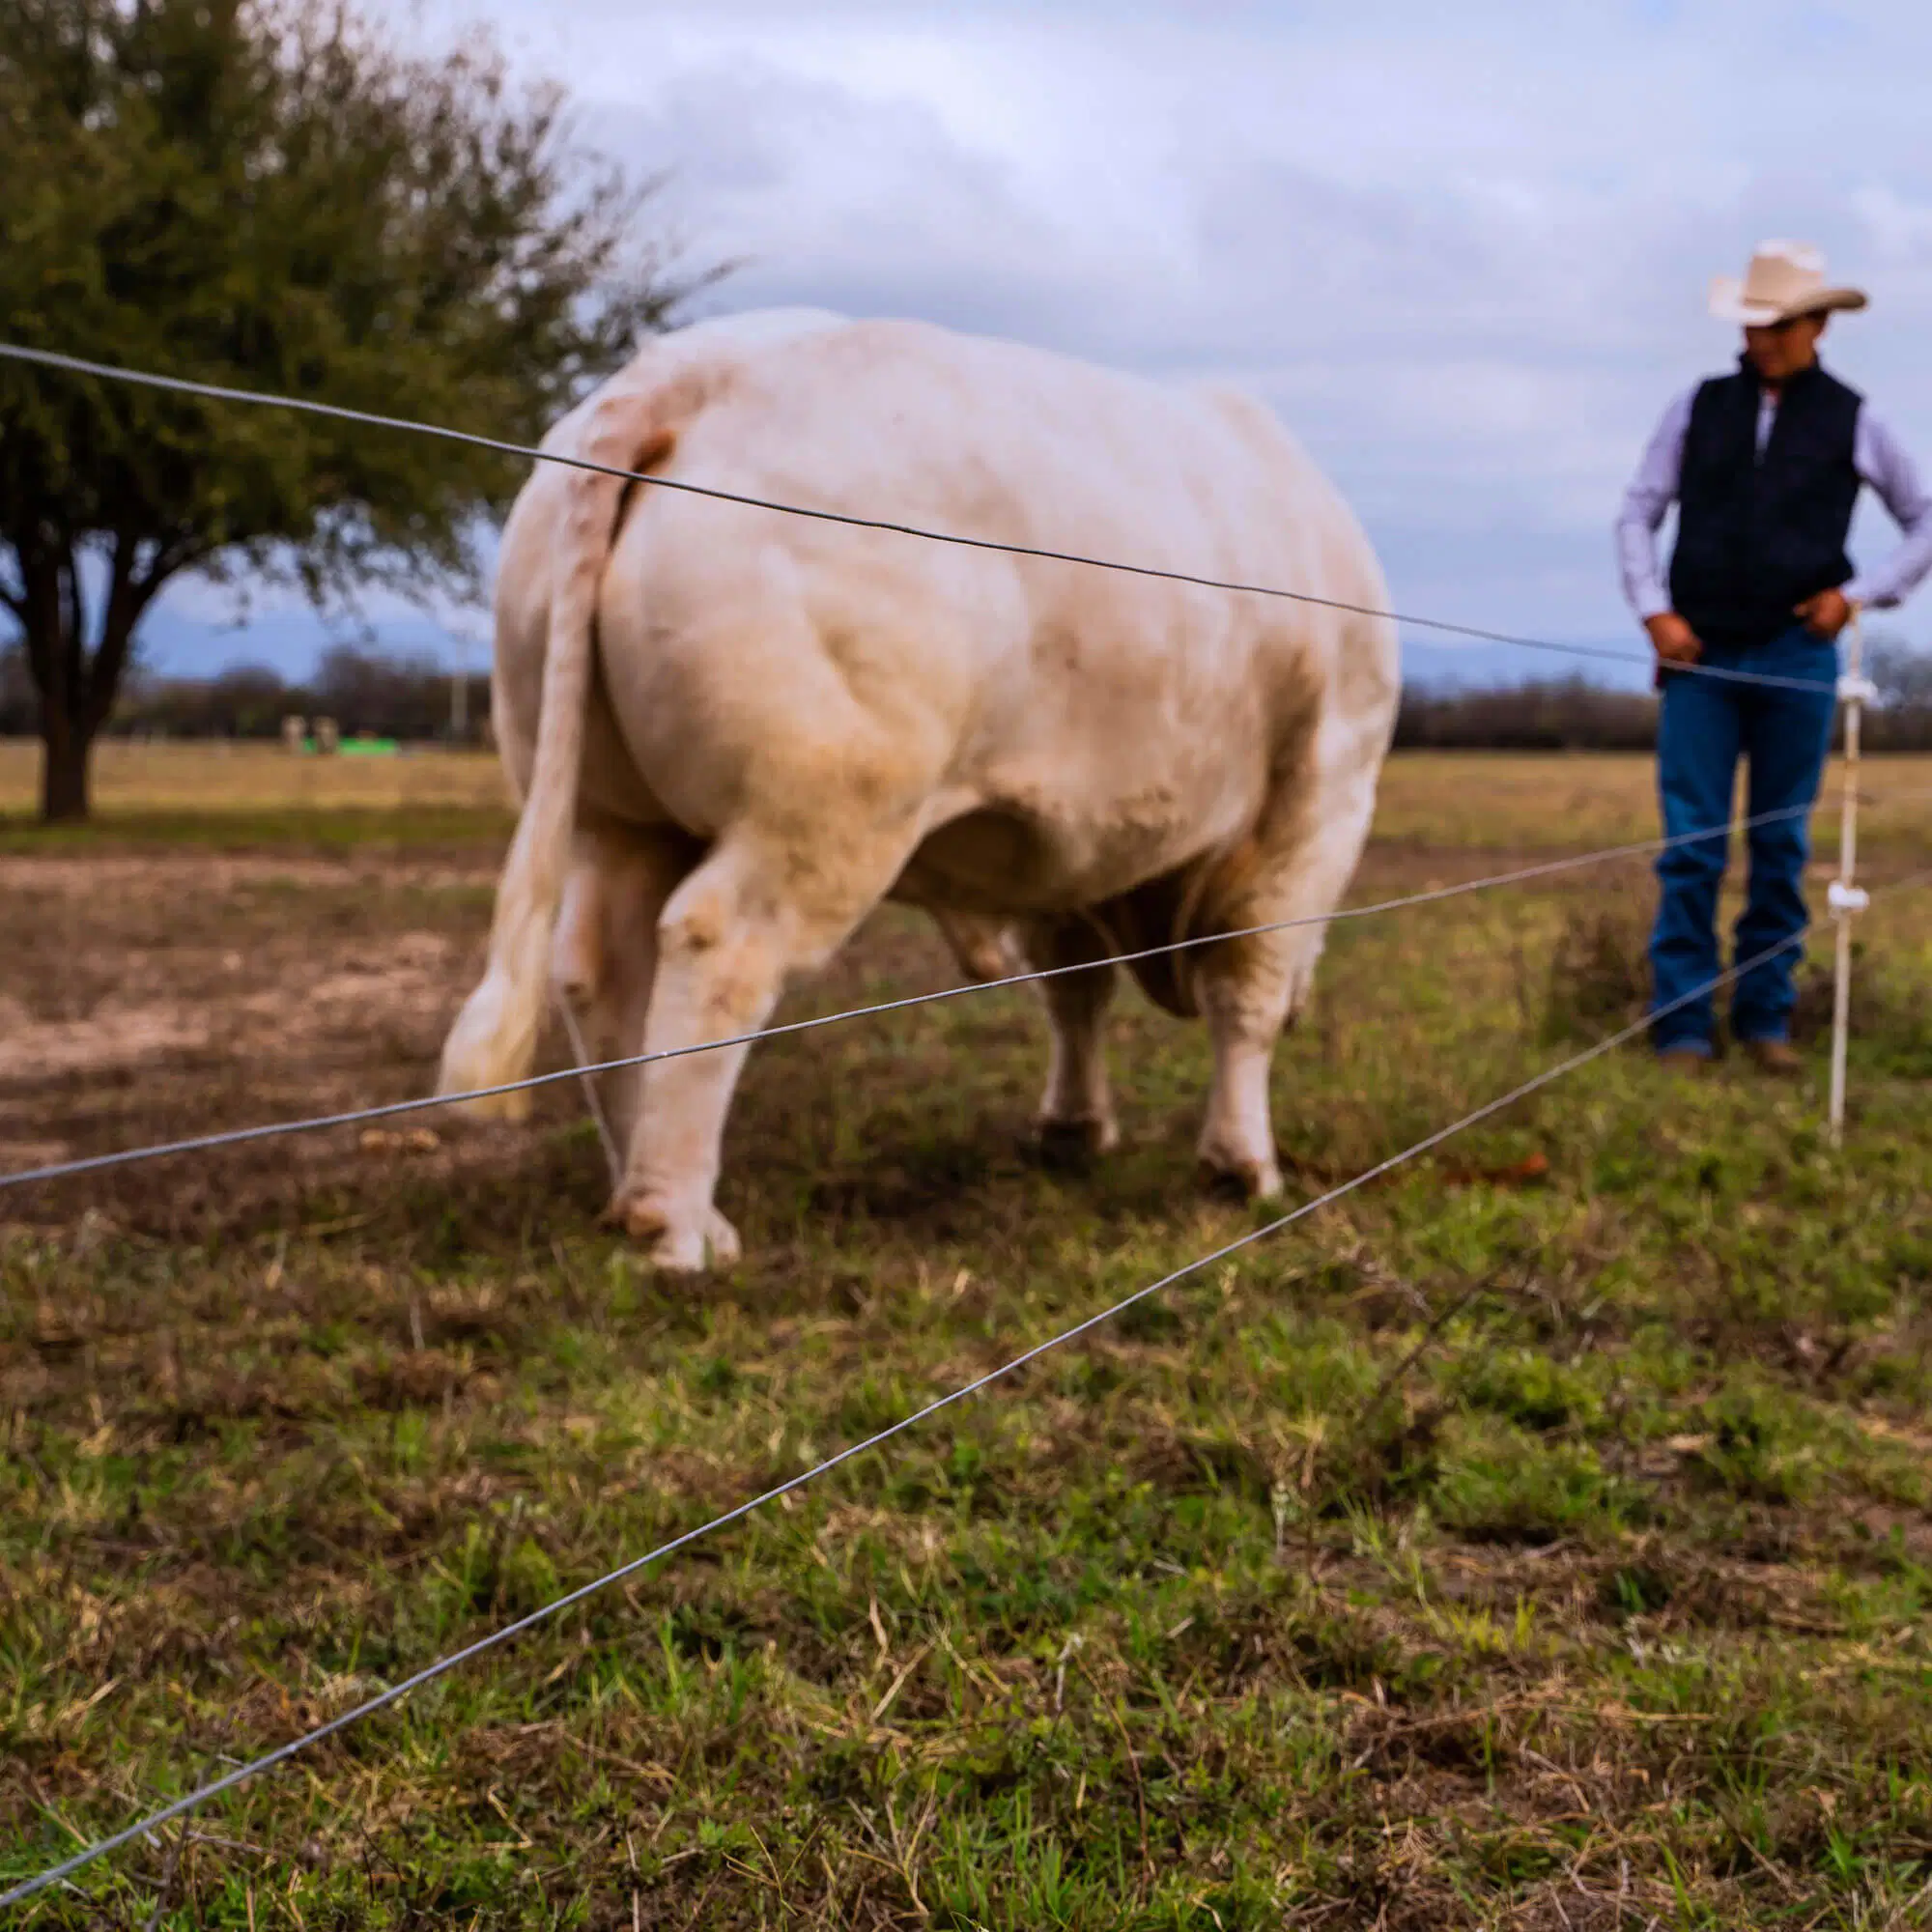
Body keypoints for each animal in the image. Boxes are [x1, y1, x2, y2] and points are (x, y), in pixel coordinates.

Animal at [439, 309, 1399, 1275]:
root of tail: (689, 368)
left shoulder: (1065, 836)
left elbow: (1072, 989)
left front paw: (1074, 1129)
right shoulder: (1320, 793)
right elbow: (1248, 983)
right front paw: (1242, 1168)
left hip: (614, 815)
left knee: (603, 970)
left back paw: (640, 1185)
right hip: (821, 807)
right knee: (718, 953)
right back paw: (672, 1222)